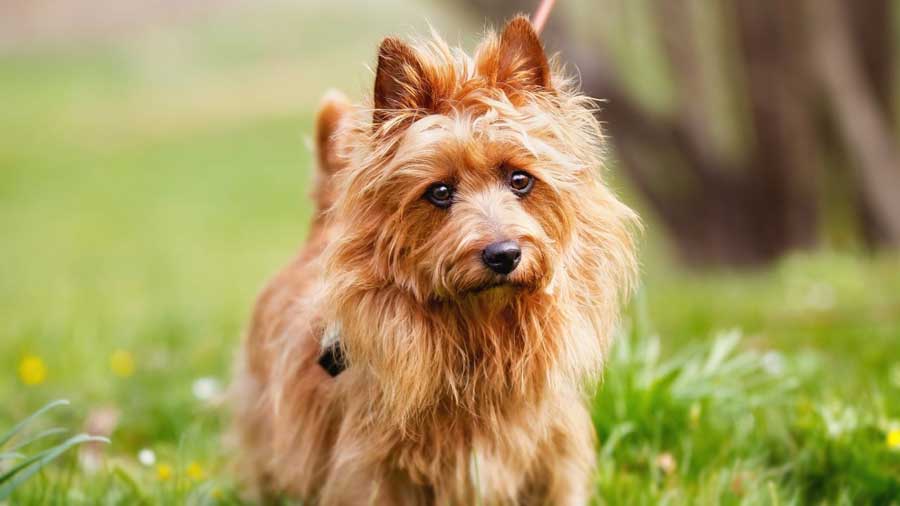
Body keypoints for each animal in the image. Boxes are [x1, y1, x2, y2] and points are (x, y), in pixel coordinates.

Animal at [232, 15, 640, 506]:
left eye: (521, 180)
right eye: (440, 192)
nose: (504, 254)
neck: (480, 334)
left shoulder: (553, 458)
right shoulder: (371, 469)